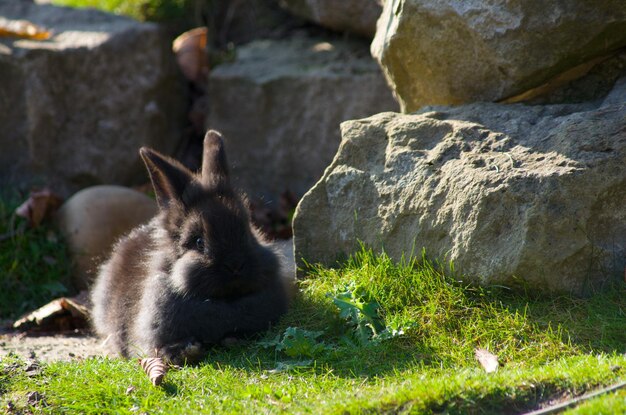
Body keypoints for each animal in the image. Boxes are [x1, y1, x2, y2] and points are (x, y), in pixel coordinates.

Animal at [90, 131, 290, 364]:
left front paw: (232, 340)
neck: (222, 302)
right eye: (198, 242)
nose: (235, 265)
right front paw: (189, 349)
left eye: (248, 232)